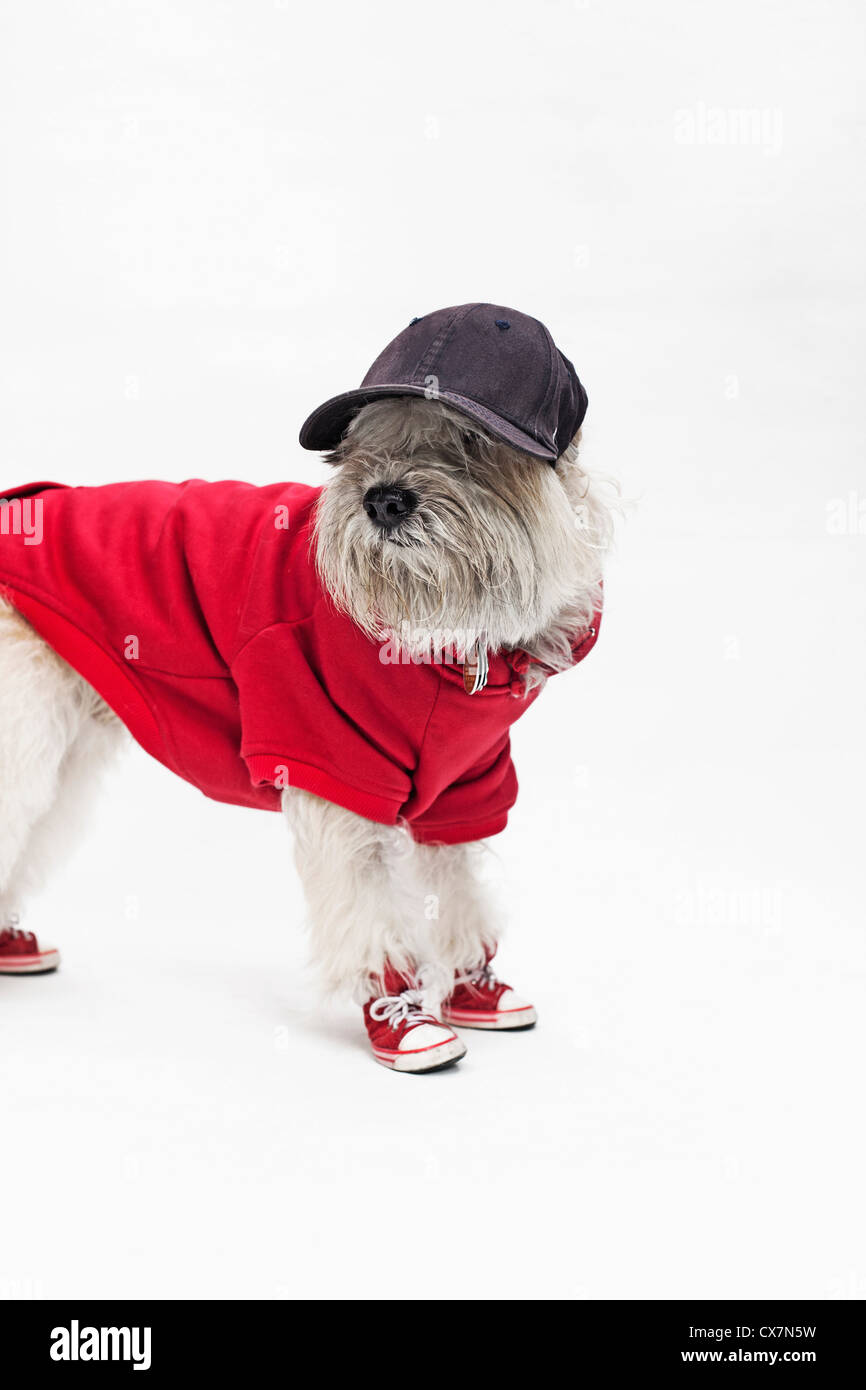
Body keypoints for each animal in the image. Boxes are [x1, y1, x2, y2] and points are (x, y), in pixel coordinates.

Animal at [0, 304, 617, 1073]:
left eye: (470, 441)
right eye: (363, 446)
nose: (384, 501)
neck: (451, 636)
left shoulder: (466, 785)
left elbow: (460, 892)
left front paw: (476, 985)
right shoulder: (337, 777)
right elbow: (372, 914)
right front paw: (402, 1017)